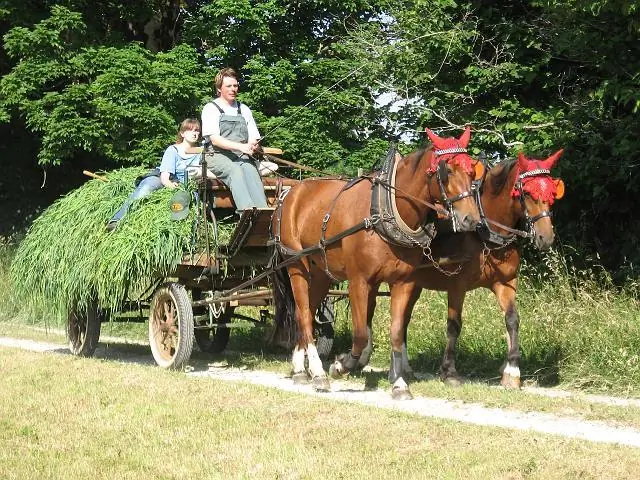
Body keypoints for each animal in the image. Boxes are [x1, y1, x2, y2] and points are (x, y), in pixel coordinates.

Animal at [270, 126, 484, 398]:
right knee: (304, 316)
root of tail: (291, 193)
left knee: (304, 313)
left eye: (472, 172)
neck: (385, 212)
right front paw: (341, 366)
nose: (470, 219)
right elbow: (361, 334)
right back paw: (318, 373)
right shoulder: (359, 282)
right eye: (446, 172)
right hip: (297, 265)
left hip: (320, 274)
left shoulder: (403, 283)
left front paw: (399, 383)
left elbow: (397, 332)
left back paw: (300, 370)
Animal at [370, 150, 564, 390]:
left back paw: (404, 368)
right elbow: (454, 325)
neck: (484, 232)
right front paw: (449, 371)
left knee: (403, 318)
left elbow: (512, 320)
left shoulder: (505, 283)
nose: (546, 238)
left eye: (553, 193)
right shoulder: (457, 286)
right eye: (527, 192)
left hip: (412, 284)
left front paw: (512, 370)